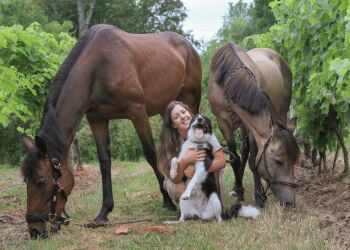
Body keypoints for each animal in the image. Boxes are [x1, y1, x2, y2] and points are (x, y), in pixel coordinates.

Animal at [21, 24, 201, 238]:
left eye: (41, 181)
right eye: (25, 181)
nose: (34, 229)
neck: (99, 67)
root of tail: (187, 45)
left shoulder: (137, 112)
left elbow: (150, 154)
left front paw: (167, 201)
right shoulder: (97, 119)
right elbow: (104, 162)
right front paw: (104, 213)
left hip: (190, 98)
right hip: (167, 106)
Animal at [209, 42, 300, 207]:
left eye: (295, 160)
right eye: (278, 160)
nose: (290, 202)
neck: (228, 81)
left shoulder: (252, 128)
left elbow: (253, 160)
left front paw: (259, 197)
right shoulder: (222, 122)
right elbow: (235, 158)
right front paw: (240, 192)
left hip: (281, 112)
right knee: (242, 152)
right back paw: (236, 188)